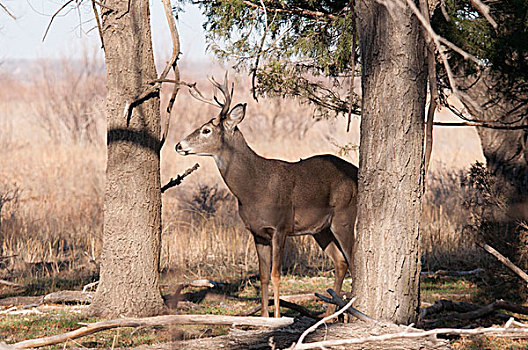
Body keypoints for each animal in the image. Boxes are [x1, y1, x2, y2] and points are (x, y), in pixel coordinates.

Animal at [177, 75, 358, 318]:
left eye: (206, 130)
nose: (179, 145)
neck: (254, 190)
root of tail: (356, 171)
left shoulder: (280, 227)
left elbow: (275, 275)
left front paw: (279, 317)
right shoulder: (257, 232)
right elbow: (263, 276)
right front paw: (263, 317)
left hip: (344, 215)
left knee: (354, 260)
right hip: (321, 229)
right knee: (340, 262)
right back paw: (330, 315)